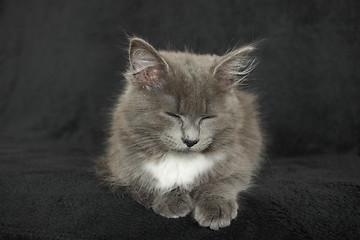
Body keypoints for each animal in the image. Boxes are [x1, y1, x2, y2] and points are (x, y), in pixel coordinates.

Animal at [96, 37, 264, 231]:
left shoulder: (239, 162)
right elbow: (155, 182)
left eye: (207, 117)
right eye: (173, 115)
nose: (191, 140)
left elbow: (219, 184)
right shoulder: (124, 167)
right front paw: (173, 202)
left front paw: (215, 210)